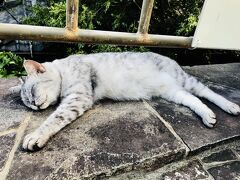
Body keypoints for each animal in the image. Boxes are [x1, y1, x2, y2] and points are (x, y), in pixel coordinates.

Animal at [11, 51, 240, 150]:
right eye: (27, 102)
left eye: (32, 92)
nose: (35, 106)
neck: (63, 70)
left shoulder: (78, 97)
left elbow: (54, 118)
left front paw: (35, 136)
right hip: (173, 92)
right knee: (194, 100)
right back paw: (207, 116)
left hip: (185, 80)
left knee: (207, 92)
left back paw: (230, 106)